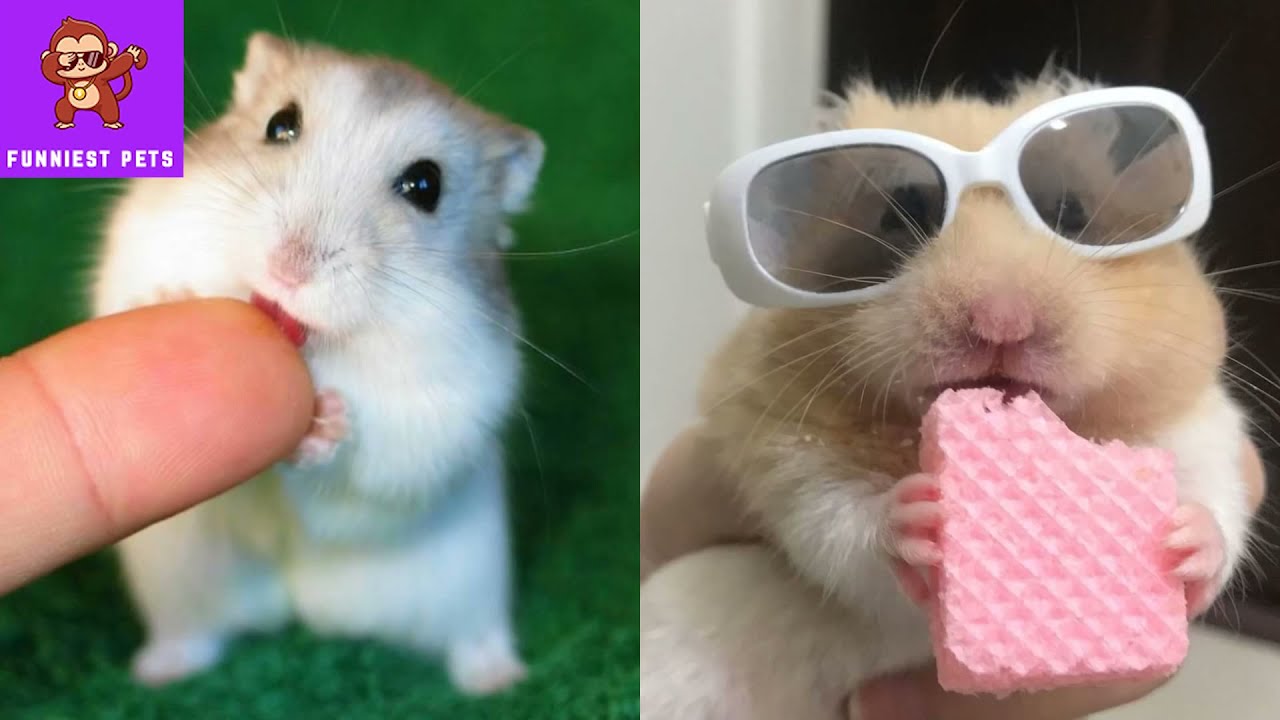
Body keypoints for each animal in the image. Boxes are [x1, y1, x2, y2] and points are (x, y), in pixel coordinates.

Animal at [92, 32, 544, 694]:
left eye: (426, 185)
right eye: (281, 124)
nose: (289, 268)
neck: (315, 346)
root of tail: (303, 607)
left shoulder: (448, 407)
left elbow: (373, 460)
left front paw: (326, 421)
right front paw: (167, 301)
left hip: (470, 582)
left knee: (472, 637)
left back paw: (500, 679)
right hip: (177, 575)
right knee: (194, 633)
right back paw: (155, 672)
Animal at [641, 70, 1255, 719]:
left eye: (1071, 213)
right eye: (900, 213)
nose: (1002, 322)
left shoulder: (1202, 427)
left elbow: (1218, 504)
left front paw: (1185, 540)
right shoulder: (786, 451)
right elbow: (842, 523)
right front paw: (919, 519)